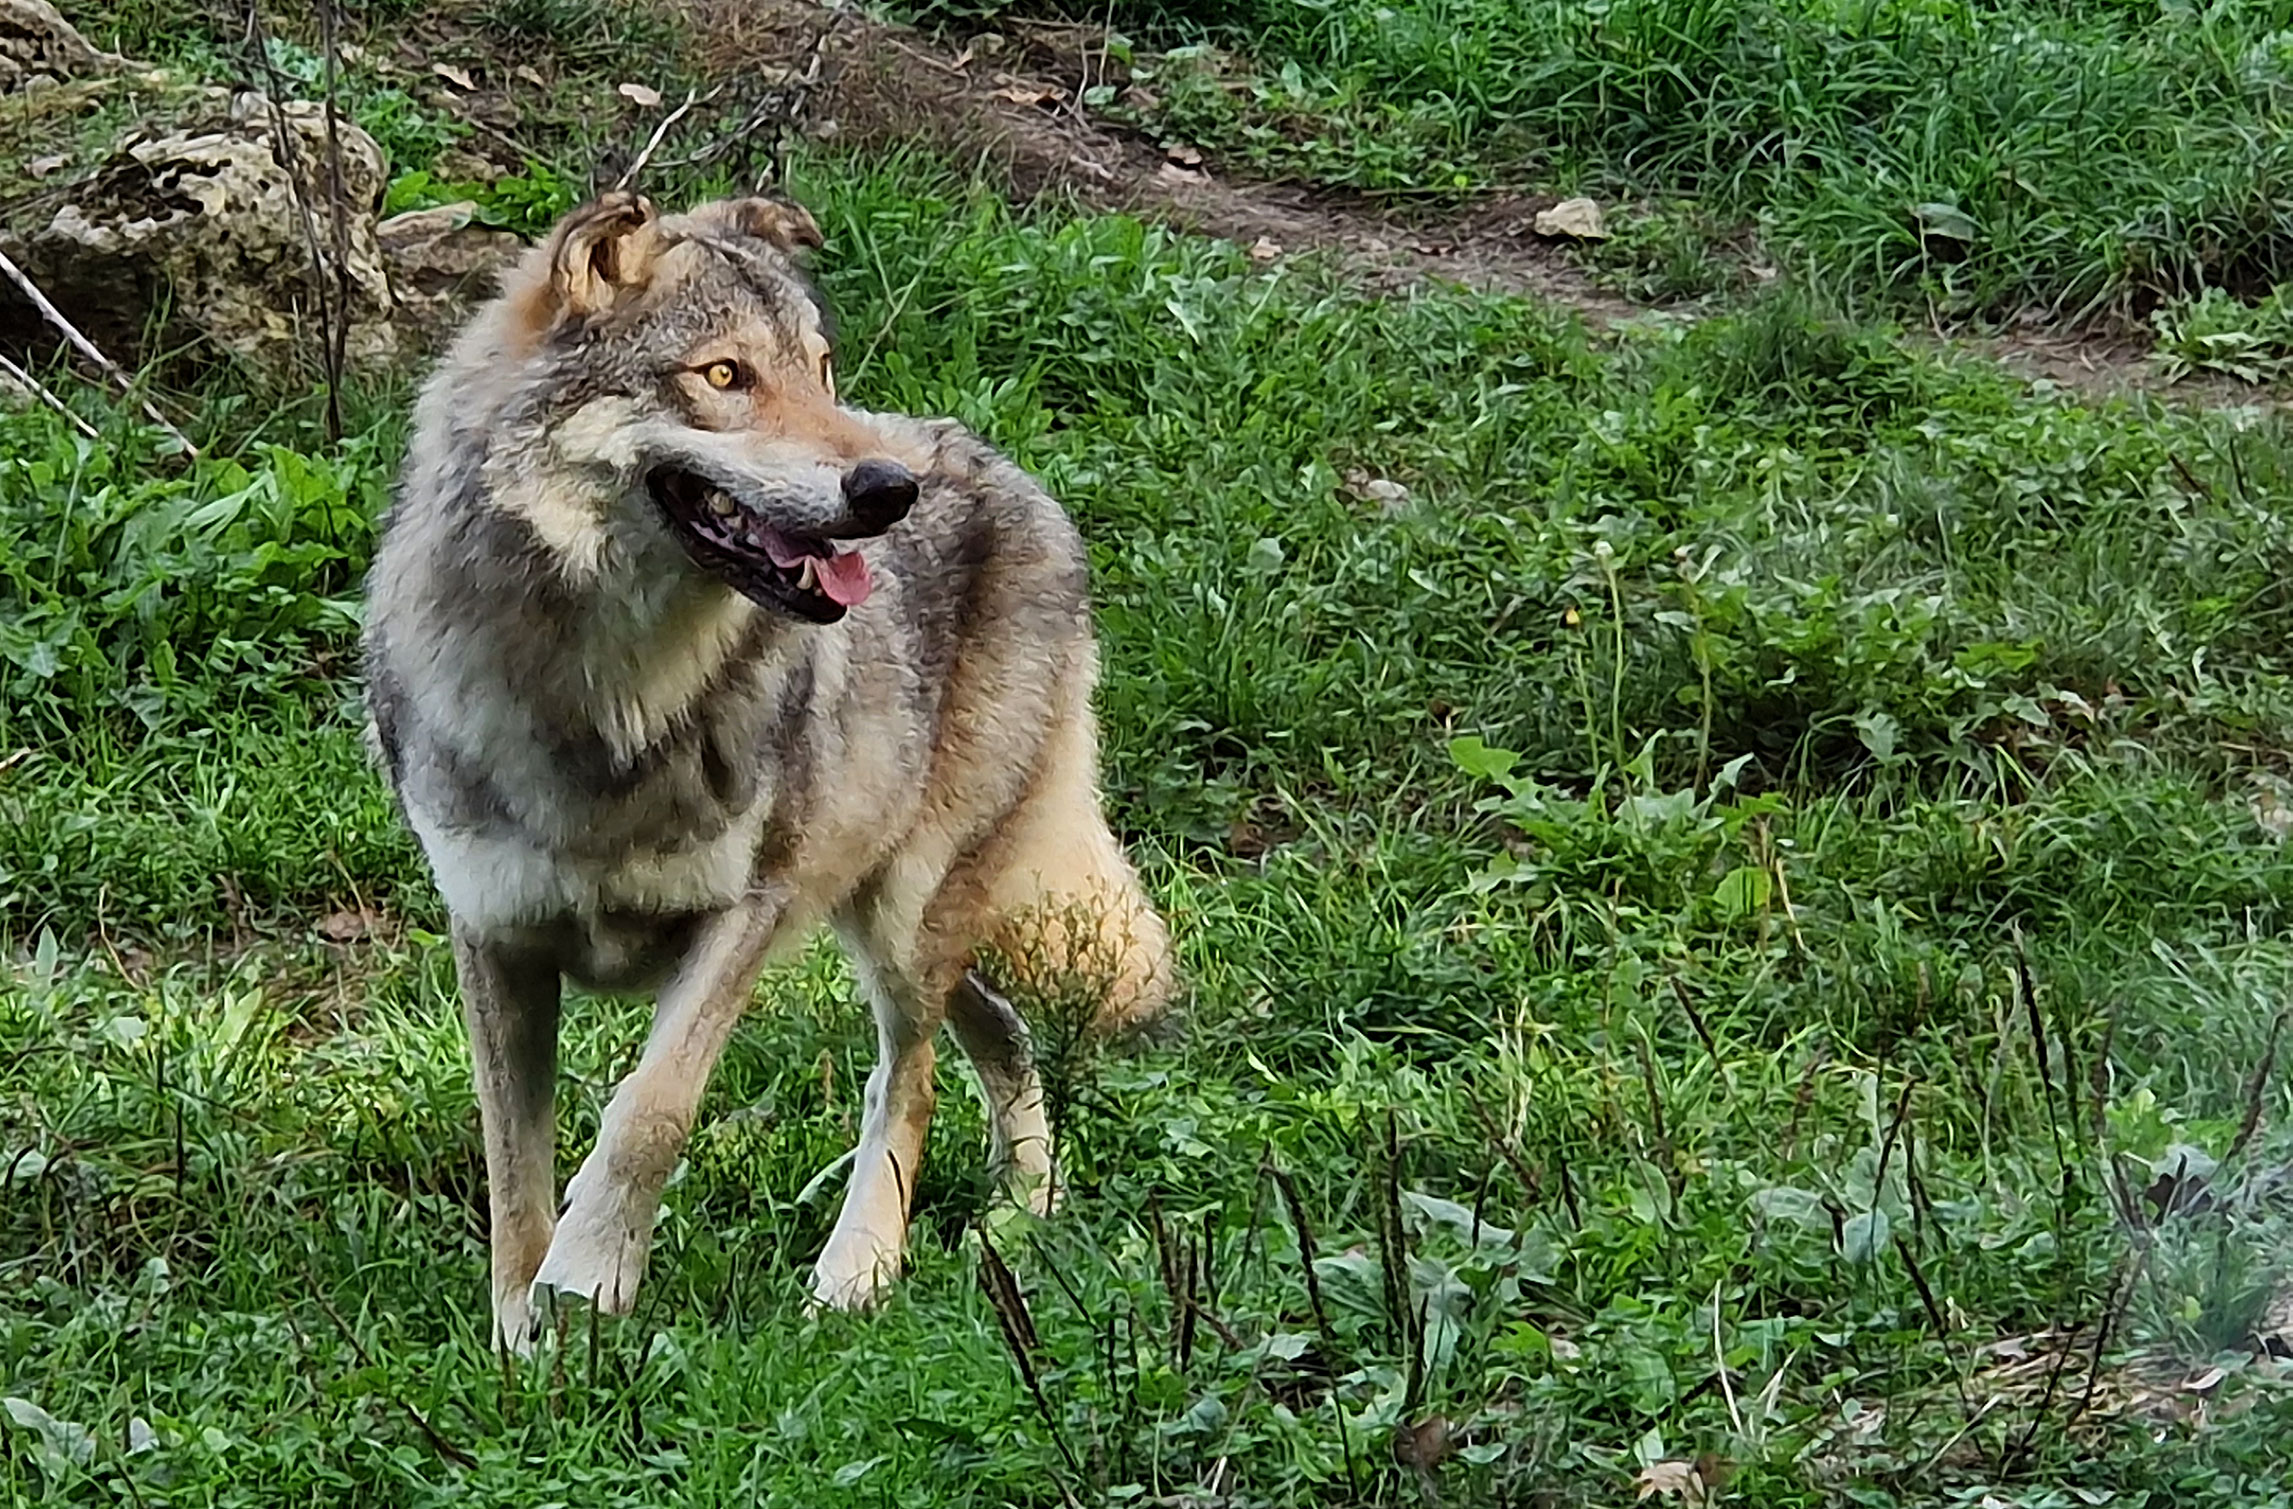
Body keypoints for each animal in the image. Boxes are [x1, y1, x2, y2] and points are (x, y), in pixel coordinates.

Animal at [364, 188, 1183, 1348]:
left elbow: (648, 1111)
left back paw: (862, 1273)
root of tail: (1004, 467)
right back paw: (1020, 1212)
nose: (890, 490)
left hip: (902, 916)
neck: (608, 705)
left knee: (911, 1078)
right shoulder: (493, 939)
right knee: (1000, 1030)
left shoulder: (748, 910)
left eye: (822, 368)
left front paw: (590, 1281)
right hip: (884, 914)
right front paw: (523, 1342)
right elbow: (510, 1168)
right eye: (723, 376)